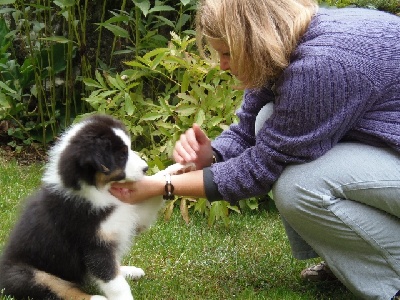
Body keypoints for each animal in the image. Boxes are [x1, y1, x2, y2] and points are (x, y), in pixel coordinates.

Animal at [0, 113, 164, 298]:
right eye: (121, 156)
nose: (146, 168)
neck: (99, 191)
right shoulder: (94, 245)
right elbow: (114, 282)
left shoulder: (128, 218)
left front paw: (171, 171)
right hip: (28, 274)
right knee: (64, 290)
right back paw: (98, 298)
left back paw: (128, 270)